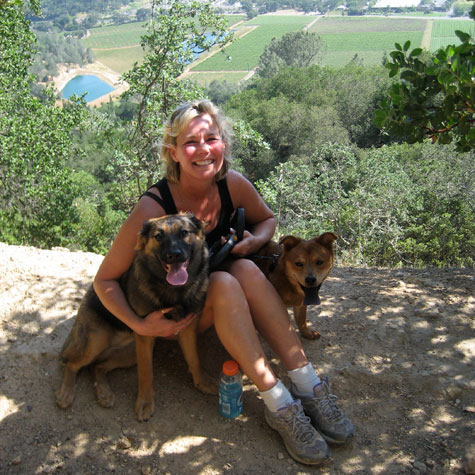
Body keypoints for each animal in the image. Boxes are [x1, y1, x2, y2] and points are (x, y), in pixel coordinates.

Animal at [56, 214, 218, 422]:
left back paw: (104, 393)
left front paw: (203, 383)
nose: (174, 255)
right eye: (158, 236)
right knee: (71, 364)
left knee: (97, 367)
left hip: (129, 354)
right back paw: (66, 393)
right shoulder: (145, 335)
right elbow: (146, 372)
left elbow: (194, 359)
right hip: (96, 341)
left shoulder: (187, 330)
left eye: (184, 232)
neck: (173, 291)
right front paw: (145, 402)